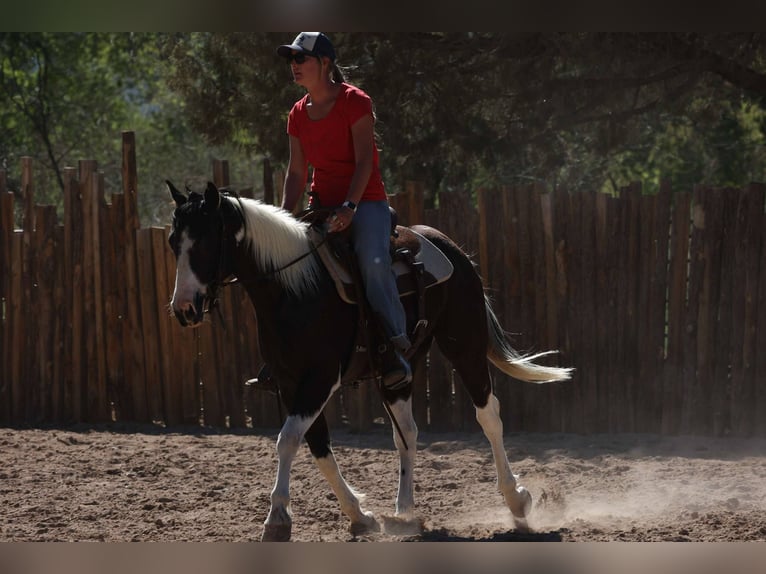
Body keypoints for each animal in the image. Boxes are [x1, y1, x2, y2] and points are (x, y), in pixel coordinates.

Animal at [166, 180, 573, 541]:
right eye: (173, 243)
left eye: (204, 240)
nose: (184, 308)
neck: (296, 289)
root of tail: (450, 249)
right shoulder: (289, 383)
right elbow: (318, 446)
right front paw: (360, 515)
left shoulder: (319, 380)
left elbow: (288, 440)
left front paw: (278, 517)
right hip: (401, 369)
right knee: (406, 431)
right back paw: (404, 512)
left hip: (465, 347)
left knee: (489, 416)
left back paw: (516, 500)